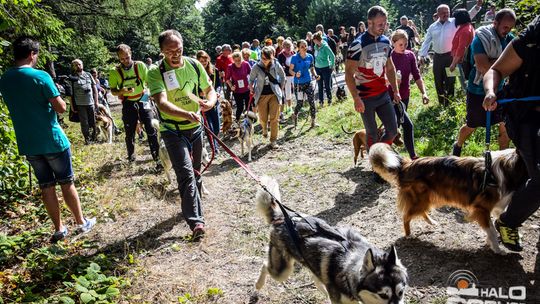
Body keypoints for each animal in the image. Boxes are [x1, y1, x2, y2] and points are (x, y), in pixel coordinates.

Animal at [255, 176, 408, 304]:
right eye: (383, 295)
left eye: (401, 292)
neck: (347, 271)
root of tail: (281, 216)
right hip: (282, 271)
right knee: (264, 265)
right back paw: (258, 284)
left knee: (317, 280)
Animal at [368, 144, 528, 253]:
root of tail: (406, 165)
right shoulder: (481, 208)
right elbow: (492, 231)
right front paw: (497, 248)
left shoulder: (493, 207)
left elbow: (495, 224)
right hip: (421, 199)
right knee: (406, 216)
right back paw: (408, 235)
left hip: (425, 199)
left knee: (419, 212)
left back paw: (432, 222)